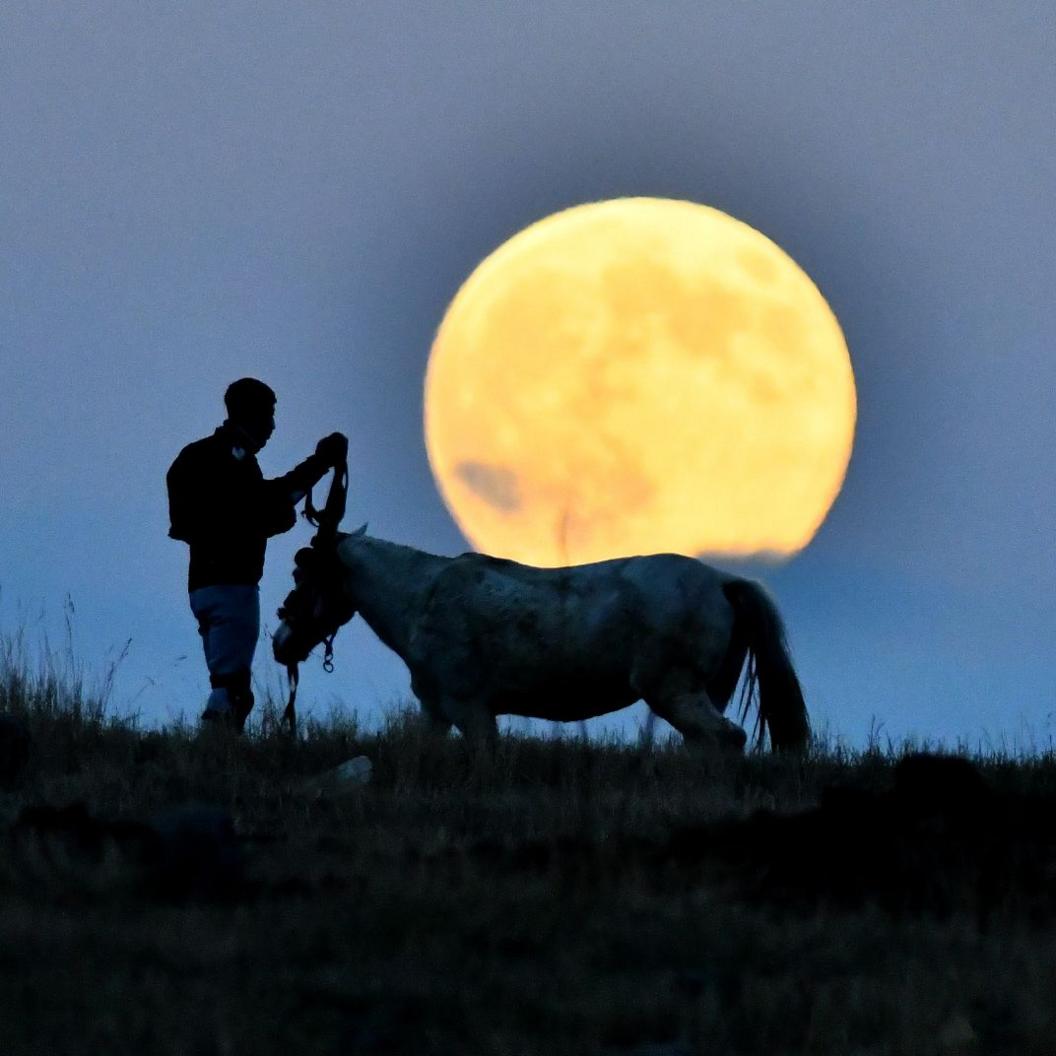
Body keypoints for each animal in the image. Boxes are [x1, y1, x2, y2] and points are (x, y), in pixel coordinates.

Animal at [272, 526, 809, 752]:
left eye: (303, 575)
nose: (280, 642)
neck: (424, 596)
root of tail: (721, 581)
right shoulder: (435, 710)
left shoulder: (471, 709)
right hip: (703, 692)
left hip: (672, 690)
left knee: (725, 740)